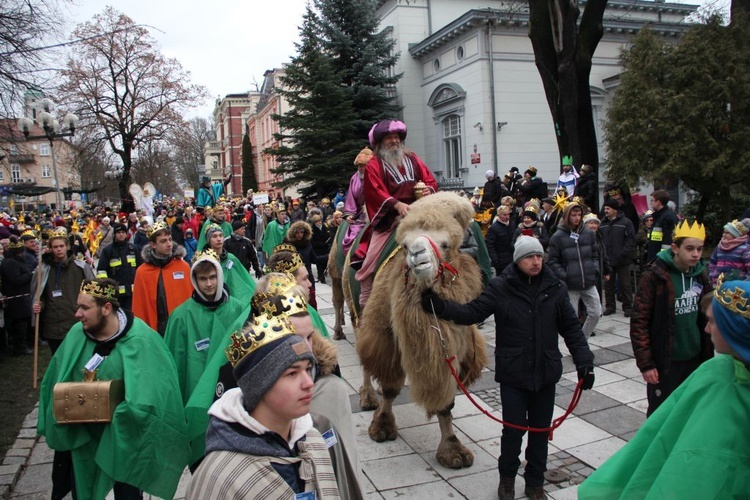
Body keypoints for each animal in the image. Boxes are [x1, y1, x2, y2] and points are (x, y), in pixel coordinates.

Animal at [352, 191, 490, 468]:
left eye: (446, 244)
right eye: (405, 246)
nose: (417, 253)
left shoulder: (456, 346)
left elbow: (447, 401)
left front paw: (453, 450)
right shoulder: (387, 339)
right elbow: (391, 388)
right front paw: (381, 427)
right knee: (366, 358)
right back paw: (368, 397)